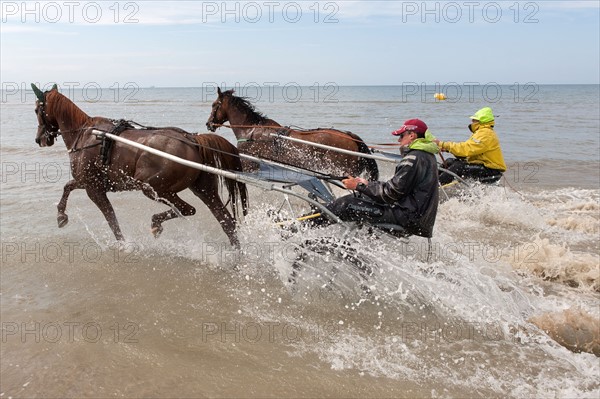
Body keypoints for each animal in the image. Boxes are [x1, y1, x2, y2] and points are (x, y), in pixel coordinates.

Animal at [32, 84, 248, 247]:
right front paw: (61, 215)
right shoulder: (88, 182)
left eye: (36, 110)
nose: (39, 139)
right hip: (203, 189)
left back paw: (156, 224)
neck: (86, 133)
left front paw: (124, 245)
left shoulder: (94, 189)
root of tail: (191, 139)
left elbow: (112, 221)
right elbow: (67, 186)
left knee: (187, 209)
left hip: (153, 187)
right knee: (226, 222)